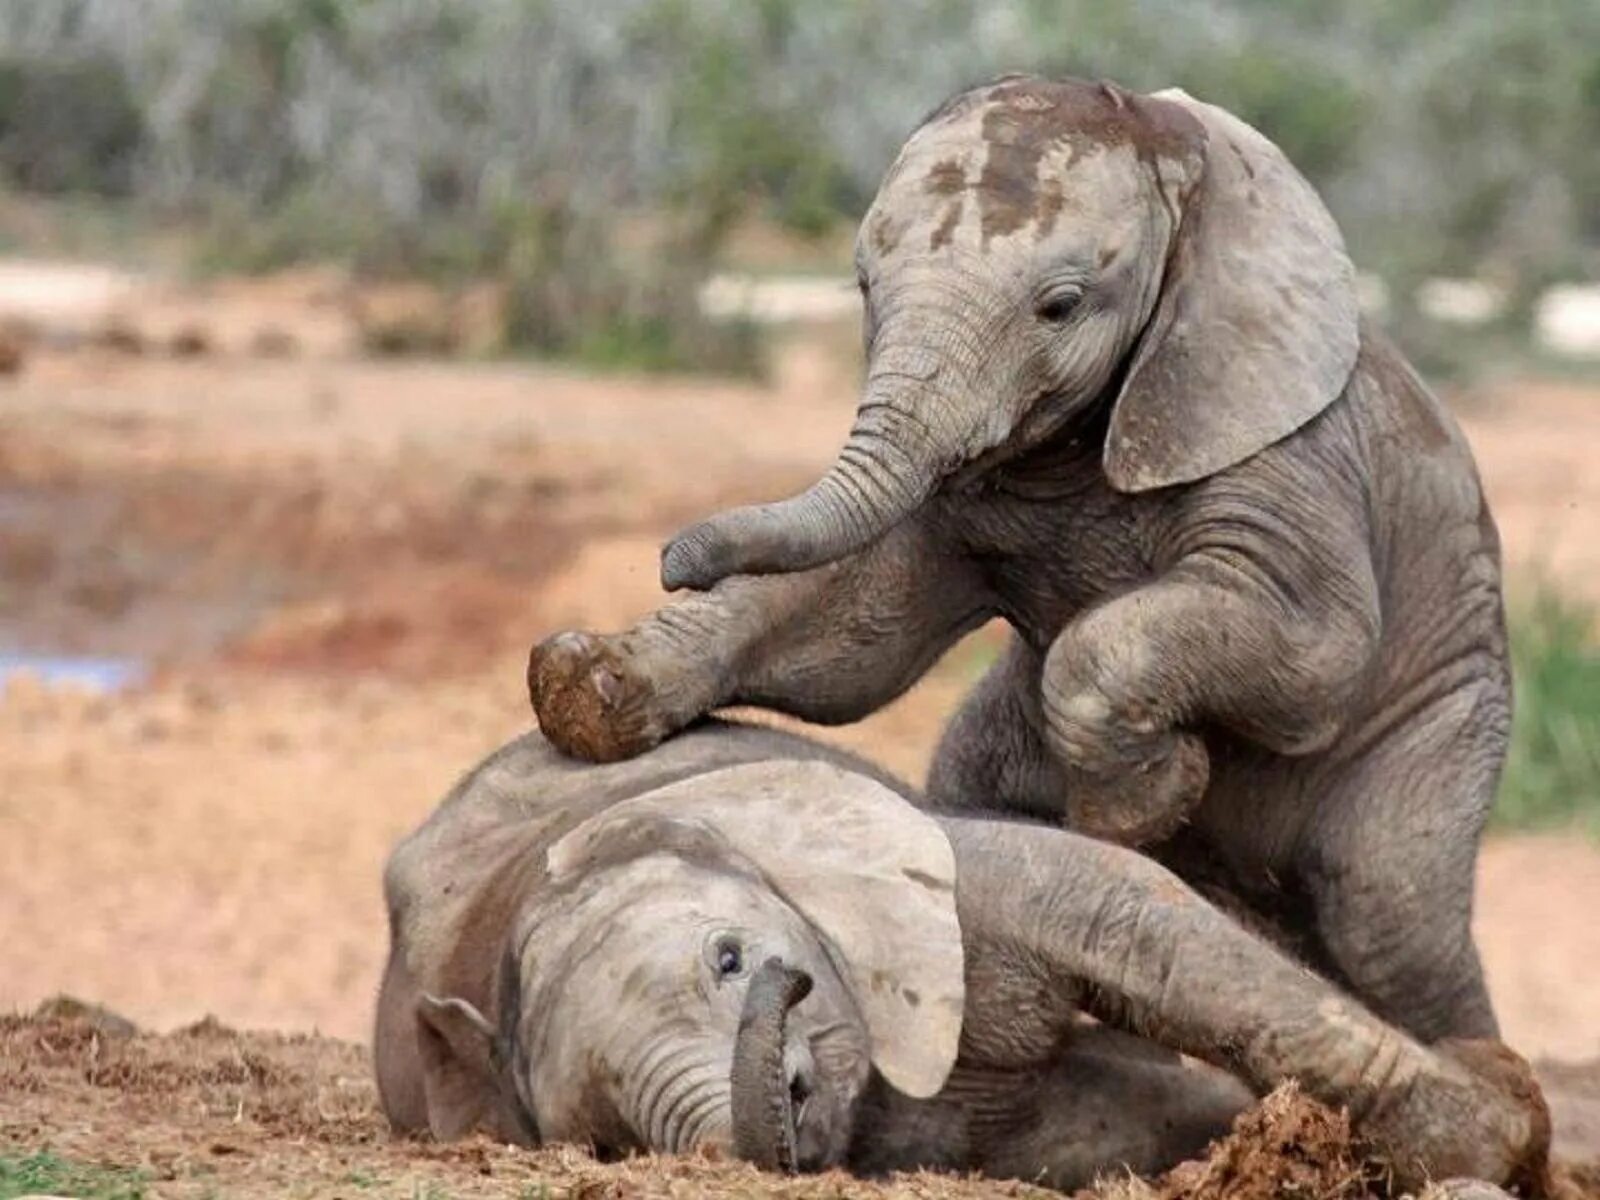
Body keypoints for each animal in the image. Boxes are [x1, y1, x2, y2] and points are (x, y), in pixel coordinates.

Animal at [534, 75, 1510, 1049]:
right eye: (862, 285)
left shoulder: (1281, 440)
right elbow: (858, 639)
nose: (672, 557)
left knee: (1389, 915)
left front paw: (1147, 805)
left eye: (1062, 304)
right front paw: (581, 684)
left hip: (1445, 727)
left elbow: (1314, 654)